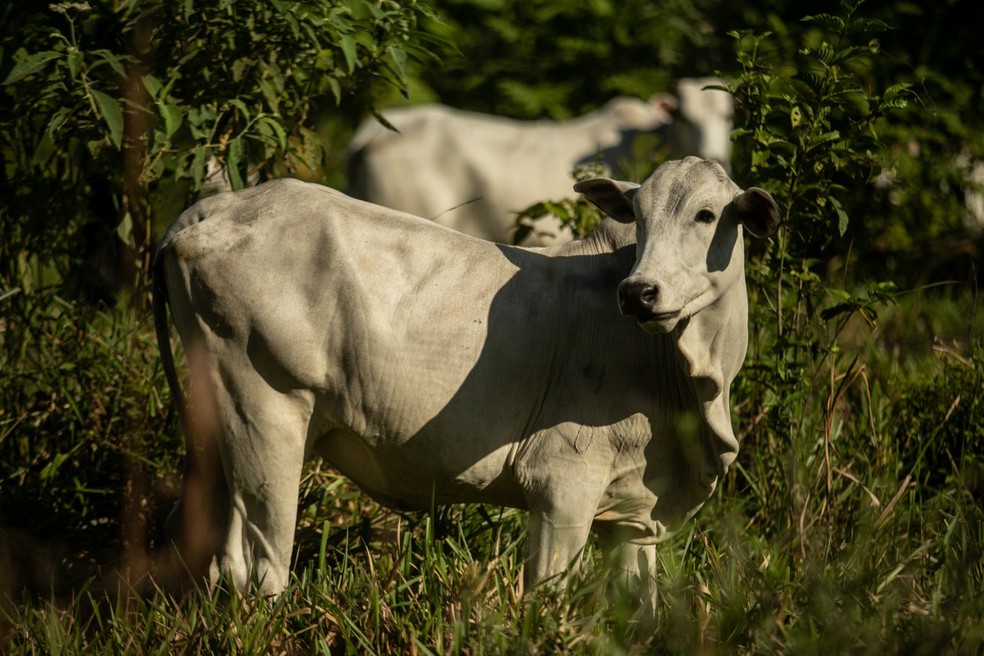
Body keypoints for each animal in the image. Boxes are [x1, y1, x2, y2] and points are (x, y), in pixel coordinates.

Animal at [154, 155, 780, 604]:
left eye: (706, 215)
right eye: (640, 216)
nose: (639, 292)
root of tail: (209, 211)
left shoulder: (633, 519)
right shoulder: (561, 486)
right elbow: (545, 598)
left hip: (223, 430)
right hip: (266, 416)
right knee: (260, 569)